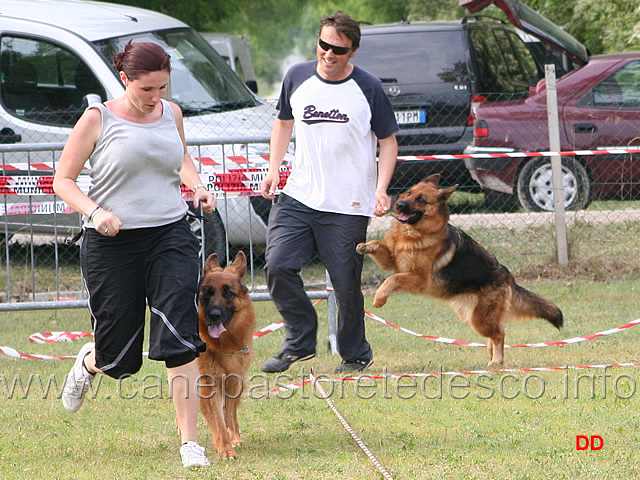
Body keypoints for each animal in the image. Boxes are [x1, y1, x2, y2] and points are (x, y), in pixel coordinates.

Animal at [198, 251, 255, 458]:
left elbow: (228, 415)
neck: (223, 344)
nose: (214, 314)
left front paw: (232, 440)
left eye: (228, 293)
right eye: (207, 292)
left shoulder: (232, 382)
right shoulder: (207, 386)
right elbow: (218, 420)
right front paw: (225, 448)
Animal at [358, 174, 564, 366]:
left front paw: (380, 297)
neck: (413, 233)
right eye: (409, 192)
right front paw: (366, 246)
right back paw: (492, 357)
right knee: (495, 334)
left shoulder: (419, 279)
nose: (399, 205)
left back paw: (497, 360)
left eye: (421, 199)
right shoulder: (392, 261)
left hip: (480, 320)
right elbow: (379, 246)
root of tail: (508, 276)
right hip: (474, 317)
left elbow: (392, 279)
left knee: (499, 334)